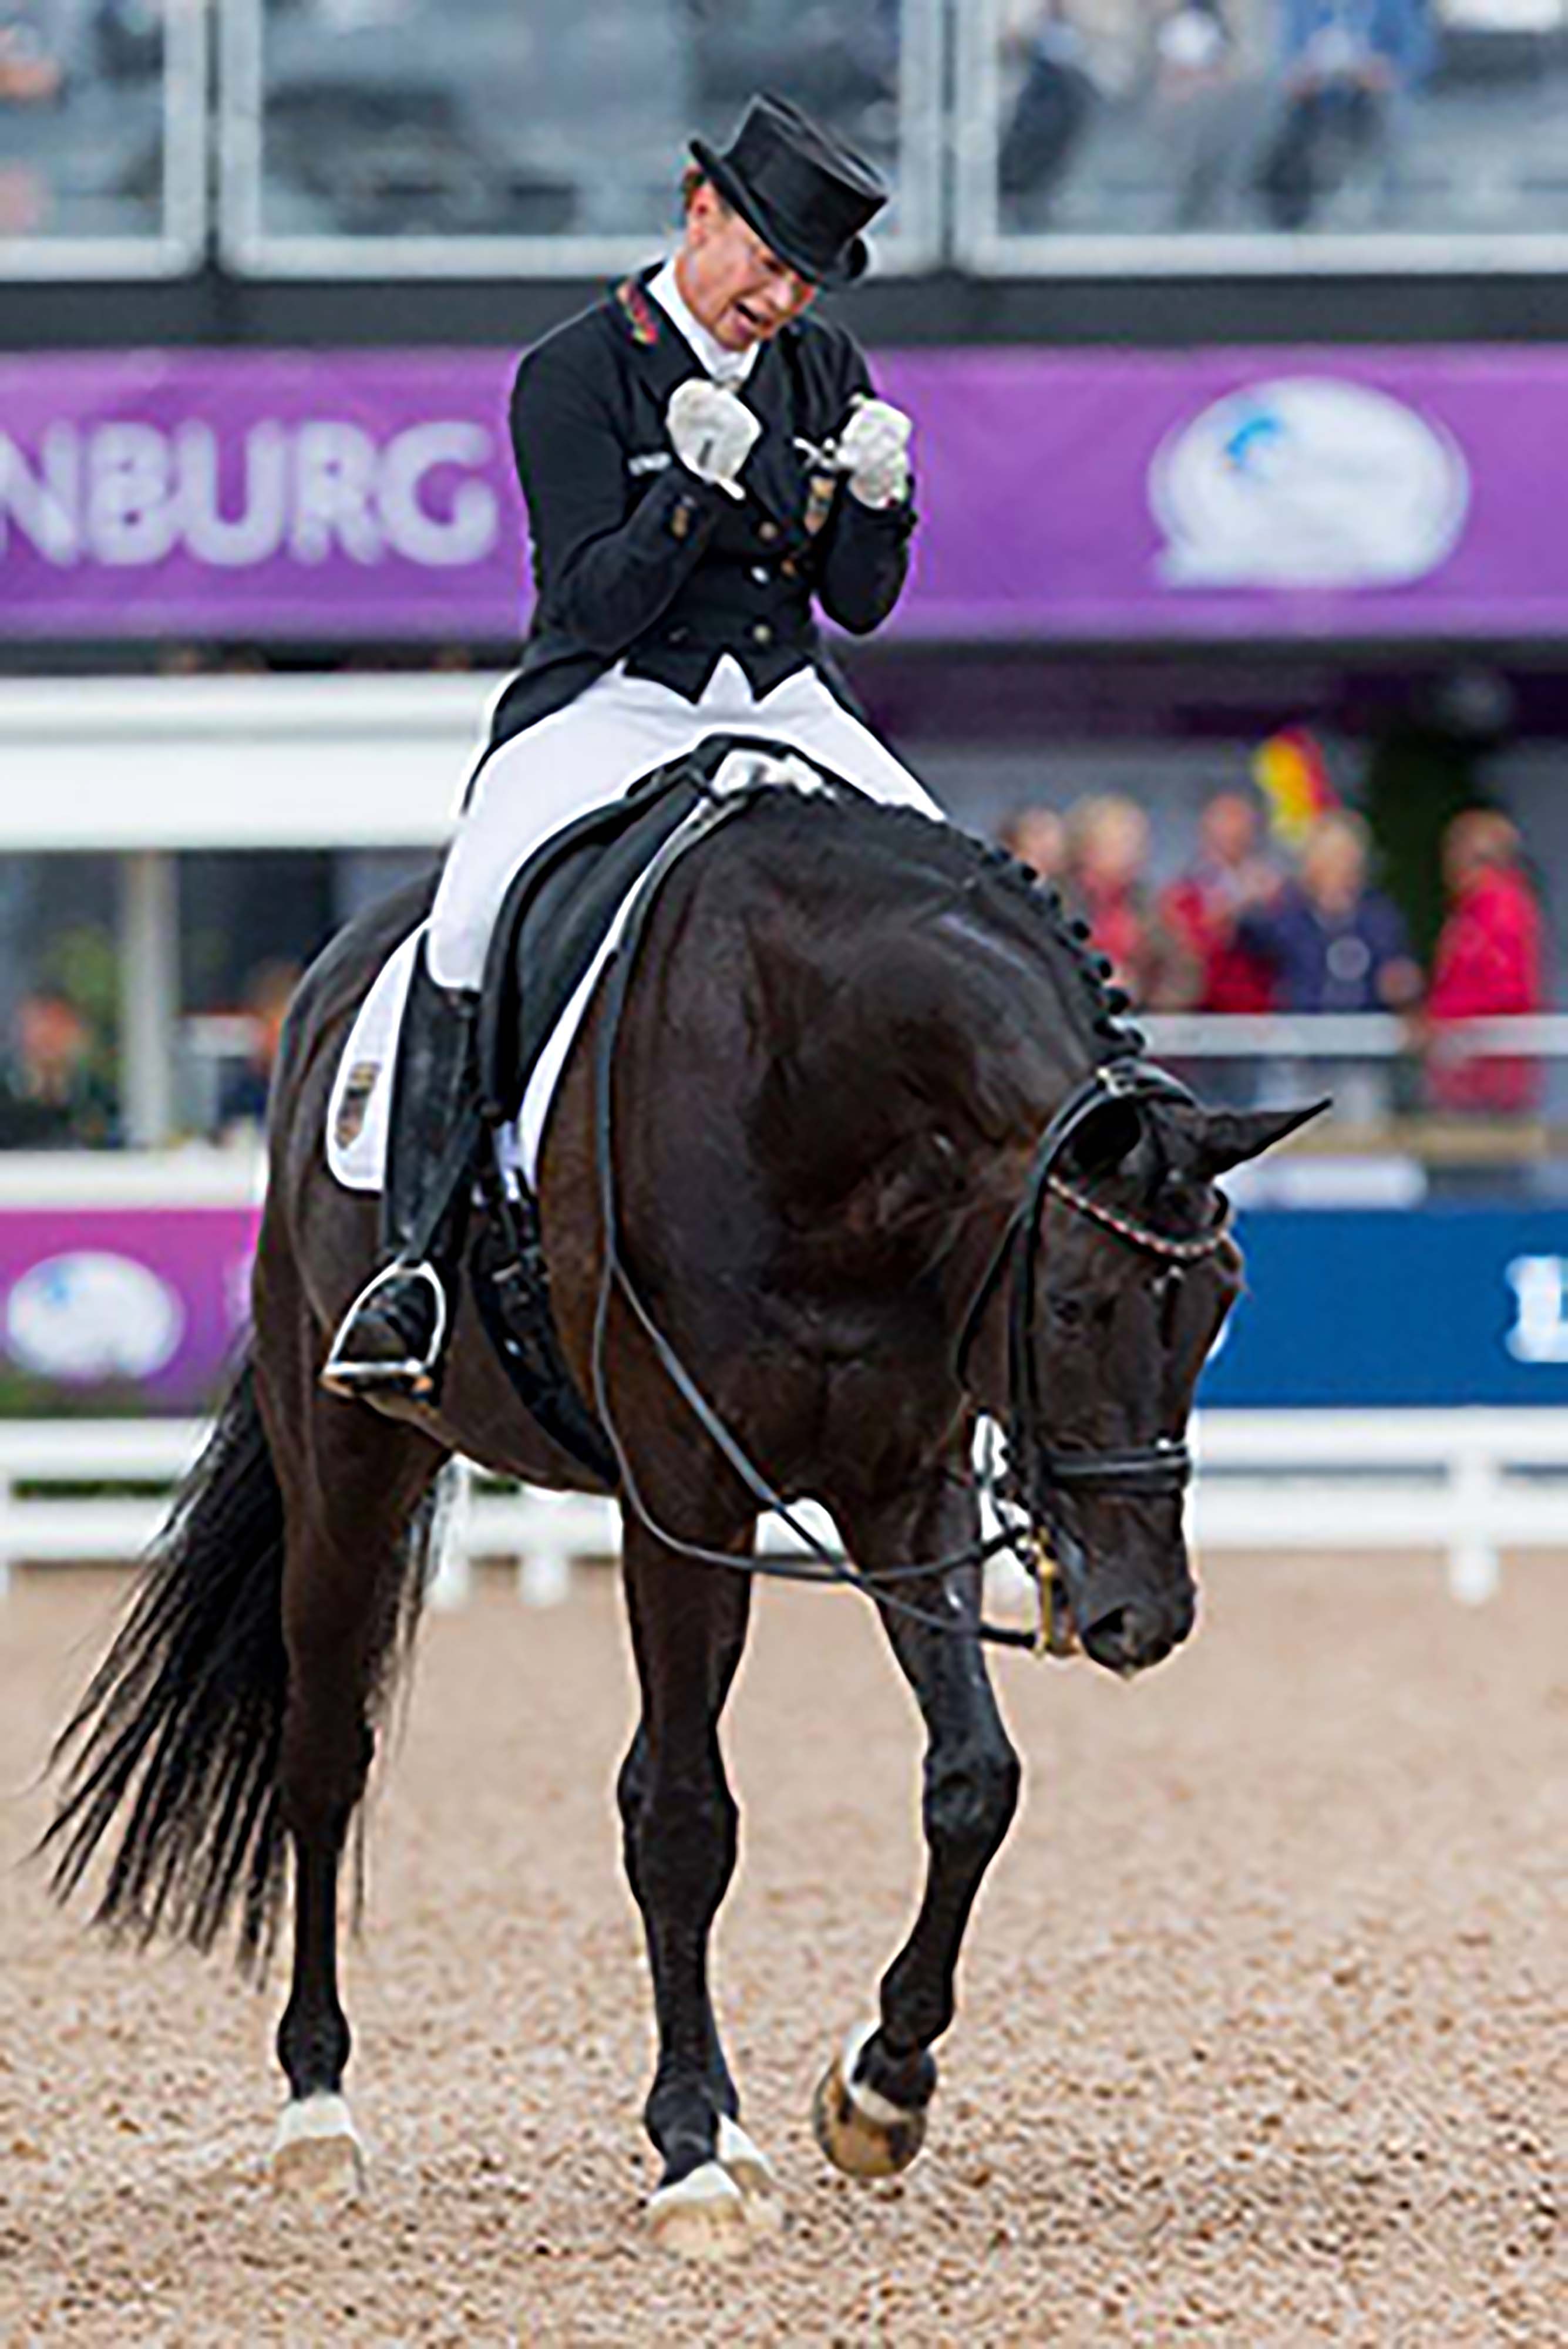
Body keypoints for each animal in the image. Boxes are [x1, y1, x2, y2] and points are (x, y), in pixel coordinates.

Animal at [46, 785, 1314, 2255]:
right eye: (1072, 1305)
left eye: (1222, 1302)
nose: (1140, 1614)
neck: (825, 1098)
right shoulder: (680, 1492)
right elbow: (685, 1814)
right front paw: (695, 2149)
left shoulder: (900, 1489)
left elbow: (972, 1779)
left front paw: (879, 2088)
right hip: (351, 1462)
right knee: (324, 1757)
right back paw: (317, 2109)